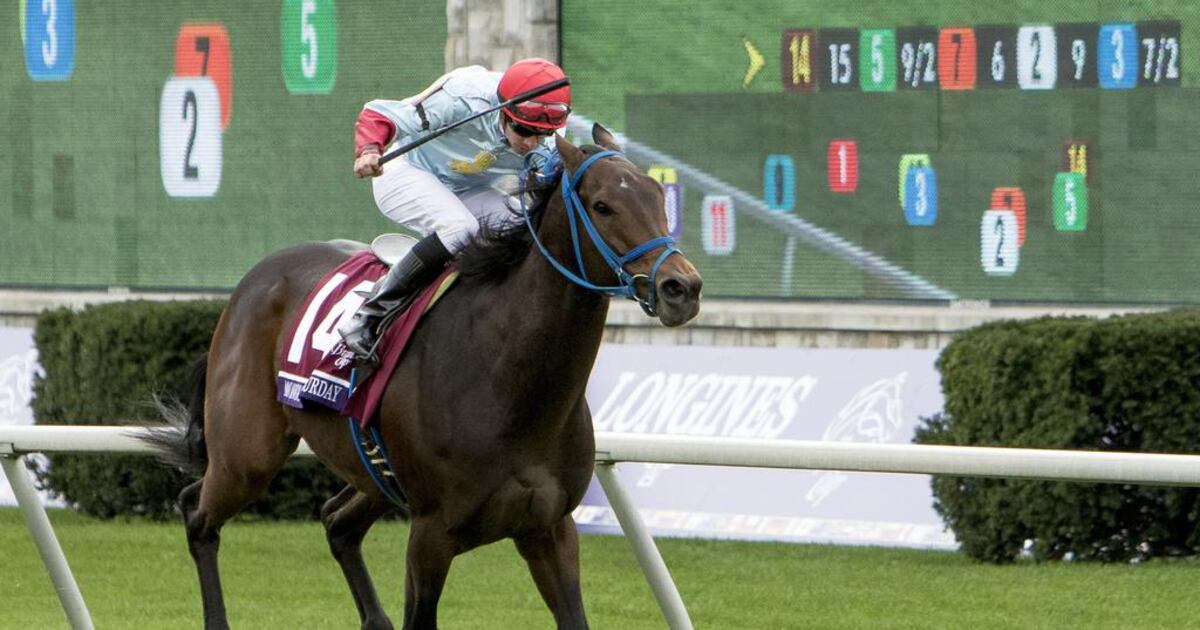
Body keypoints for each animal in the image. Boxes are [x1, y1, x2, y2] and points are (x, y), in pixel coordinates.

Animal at [146, 124, 703, 629]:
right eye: (603, 205)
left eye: (658, 196)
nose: (683, 287)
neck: (509, 381)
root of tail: (253, 280)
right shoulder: (431, 534)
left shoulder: (550, 528)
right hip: (247, 455)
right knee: (197, 513)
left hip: (369, 472)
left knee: (336, 523)